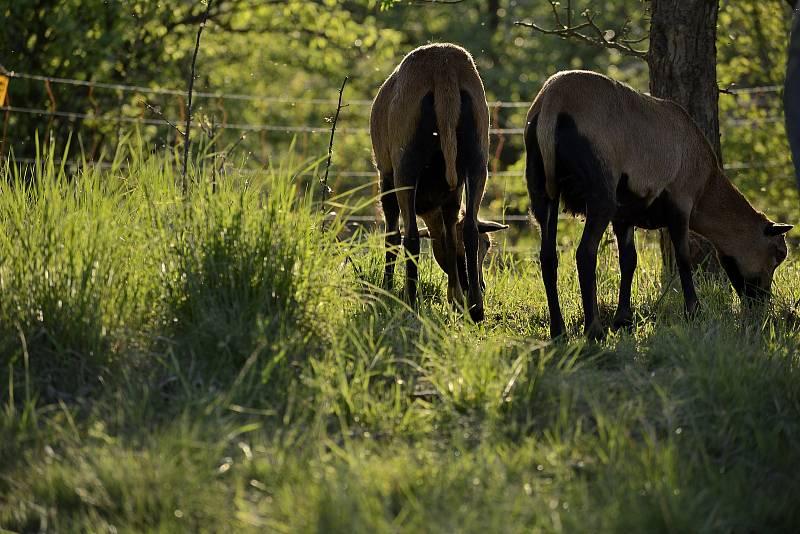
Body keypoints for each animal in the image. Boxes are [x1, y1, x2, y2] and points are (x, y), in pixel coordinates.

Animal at [372, 44, 510, 320]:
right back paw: (476, 309)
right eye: (487, 246)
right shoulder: (453, 195)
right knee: (469, 228)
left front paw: (388, 290)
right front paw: (455, 299)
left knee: (410, 238)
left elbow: (392, 235)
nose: (481, 285)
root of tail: (443, 64)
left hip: (405, 164)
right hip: (478, 156)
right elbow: (450, 238)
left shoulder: (386, 175)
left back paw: (410, 303)